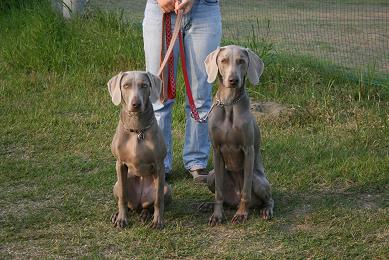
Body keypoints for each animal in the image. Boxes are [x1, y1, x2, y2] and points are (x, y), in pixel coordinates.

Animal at [107, 71, 171, 230]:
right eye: (126, 85)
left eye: (144, 85)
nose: (136, 104)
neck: (137, 129)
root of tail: (138, 203)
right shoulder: (120, 164)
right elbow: (123, 197)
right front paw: (122, 219)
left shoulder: (159, 165)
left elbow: (158, 199)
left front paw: (158, 221)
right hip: (117, 185)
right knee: (127, 201)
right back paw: (118, 215)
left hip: (167, 188)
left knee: (149, 205)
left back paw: (145, 214)